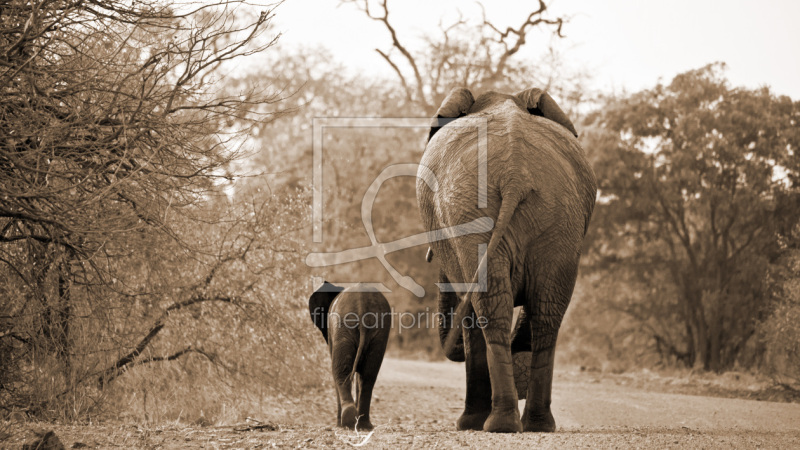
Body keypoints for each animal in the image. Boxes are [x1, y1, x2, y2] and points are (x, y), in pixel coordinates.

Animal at [308, 280, 392, 430]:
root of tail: (362, 302)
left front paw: (338, 425)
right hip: (380, 329)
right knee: (368, 376)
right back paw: (364, 425)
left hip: (343, 327)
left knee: (341, 371)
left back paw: (346, 422)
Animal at [418, 87, 592, 432]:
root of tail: (515, 174)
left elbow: (471, 317)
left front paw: (468, 423)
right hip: (558, 218)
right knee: (546, 313)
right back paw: (536, 424)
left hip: (476, 213)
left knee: (491, 309)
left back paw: (496, 424)